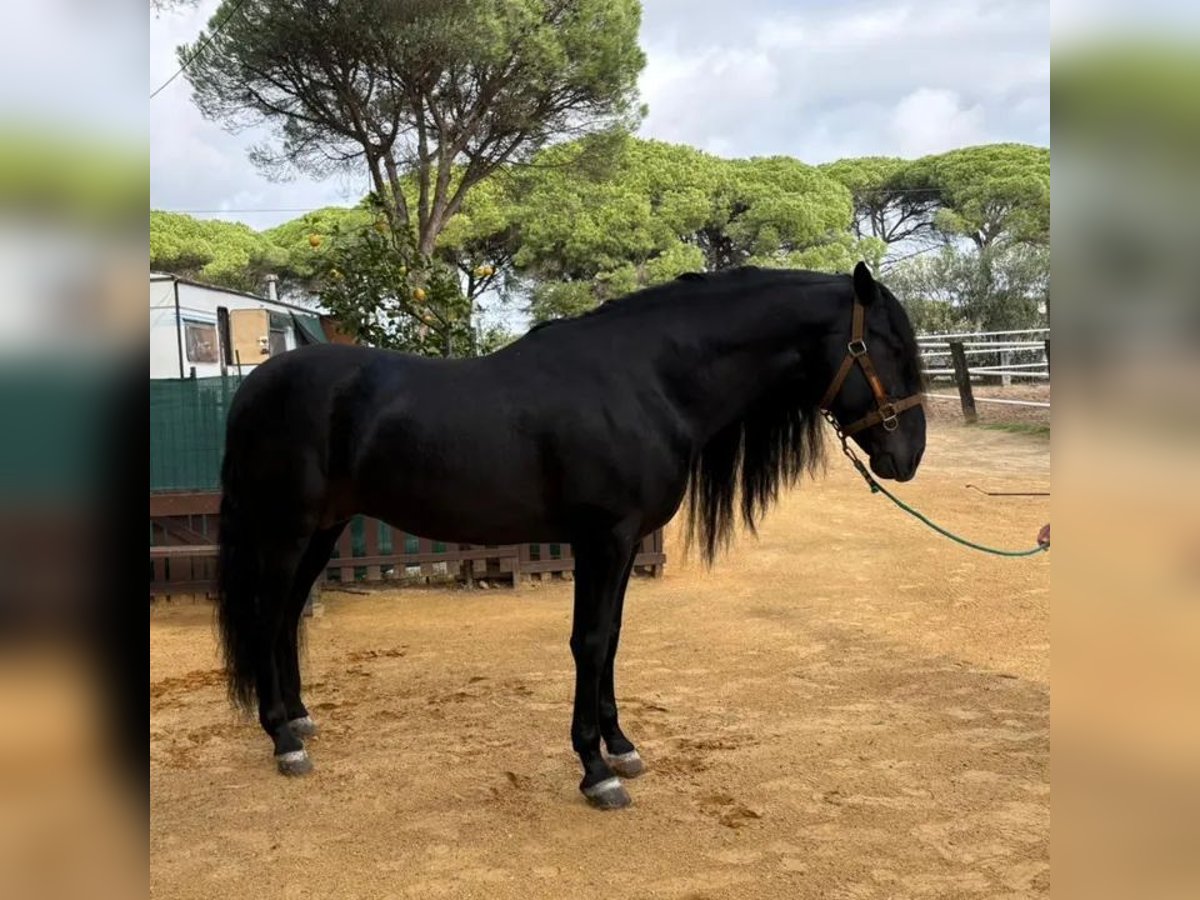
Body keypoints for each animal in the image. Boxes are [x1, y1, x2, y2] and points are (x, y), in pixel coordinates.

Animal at [216, 261, 926, 809]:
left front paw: (622, 746)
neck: (646, 379)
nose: (909, 456)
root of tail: (256, 385)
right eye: (885, 346)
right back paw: (283, 740)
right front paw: (597, 772)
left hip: (323, 528)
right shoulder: (602, 539)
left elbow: (610, 639)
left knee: (286, 618)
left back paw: (300, 721)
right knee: (267, 615)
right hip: (287, 528)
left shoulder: (622, 544)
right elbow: (588, 642)